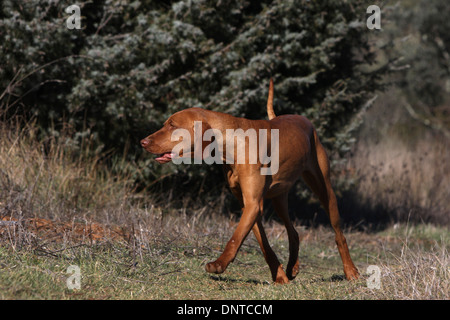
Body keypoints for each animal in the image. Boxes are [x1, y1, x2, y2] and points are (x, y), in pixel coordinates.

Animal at [141, 79, 358, 282]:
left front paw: (219, 264)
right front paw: (279, 276)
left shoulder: (253, 204)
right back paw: (292, 267)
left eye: (172, 125)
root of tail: (303, 119)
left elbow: (235, 239)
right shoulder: (248, 205)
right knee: (294, 232)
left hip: (325, 191)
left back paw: (351, 271)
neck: (232, 145)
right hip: (279, 198)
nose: (143, 142)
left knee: (339, 234)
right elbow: (264, 245)